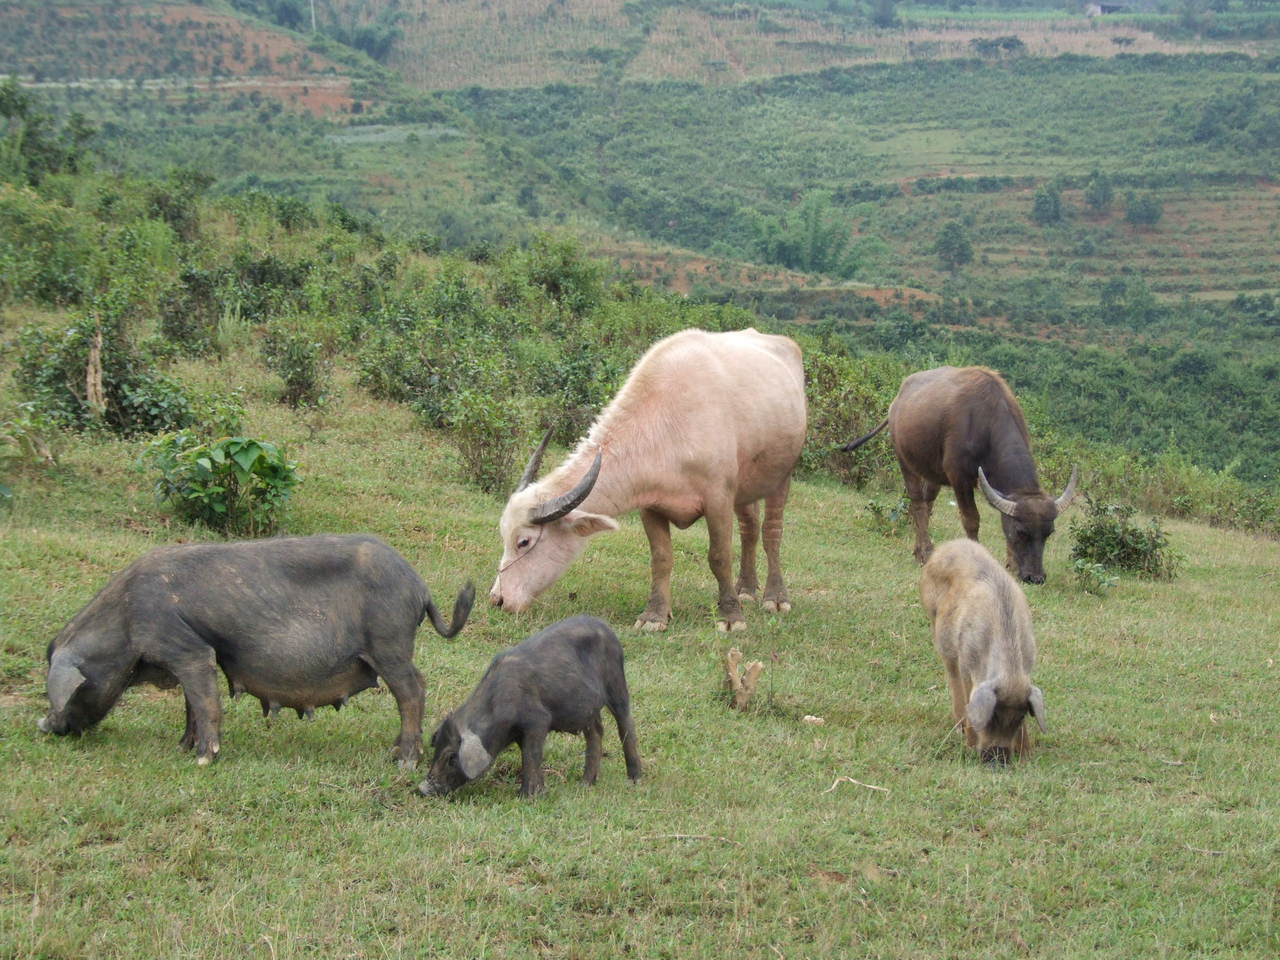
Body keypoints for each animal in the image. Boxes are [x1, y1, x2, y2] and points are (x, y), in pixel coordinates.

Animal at [37, 535, 473, 768]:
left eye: (68, 691)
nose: (44, 725)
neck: (126, 619)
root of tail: (419, 586)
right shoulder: (190, 655)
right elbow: (191, 703)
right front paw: (181, 748)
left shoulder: (187, 647)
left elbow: (205, 701)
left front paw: (203, 759)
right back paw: (394, 752)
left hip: (389, 640)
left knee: (413, 689)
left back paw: (404, 760)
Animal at [419, 616, 640, 798]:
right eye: (436, 750)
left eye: (451, 758)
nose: (422, 788)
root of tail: (605, 625)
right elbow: (528, 754)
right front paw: (538, 791)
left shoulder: (538, 720)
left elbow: (531, 755)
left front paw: (526, 796)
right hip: (588, 708)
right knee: (595, 732)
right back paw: (585, 784)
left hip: (616, 680)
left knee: (626, 722)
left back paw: (634, 779)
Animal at [483, 327, 803, 634]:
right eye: (503, 535)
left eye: (524, 541)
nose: (498, 599)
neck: (668, 423)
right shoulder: (651, 505)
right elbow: (660, 559)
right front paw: (655, 616)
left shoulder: (718, 499)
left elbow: (719, 556)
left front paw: (731, 616)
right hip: (747, 487)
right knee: (749, 529)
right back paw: (746, 589)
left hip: (782, 476)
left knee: (771, 533)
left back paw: (775, 597)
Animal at [844, 363, 1075, 583]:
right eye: (1021, 532)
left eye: (1049, 533)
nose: (1035, 578)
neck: (985, 423)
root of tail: (896, 402)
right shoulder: (960, 478)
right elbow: (971, 519)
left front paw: (1011, 564)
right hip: (905, 460)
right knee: (917, 503)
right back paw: (924, 552)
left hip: (933, 472)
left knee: (927, 503)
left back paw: (921, 548)